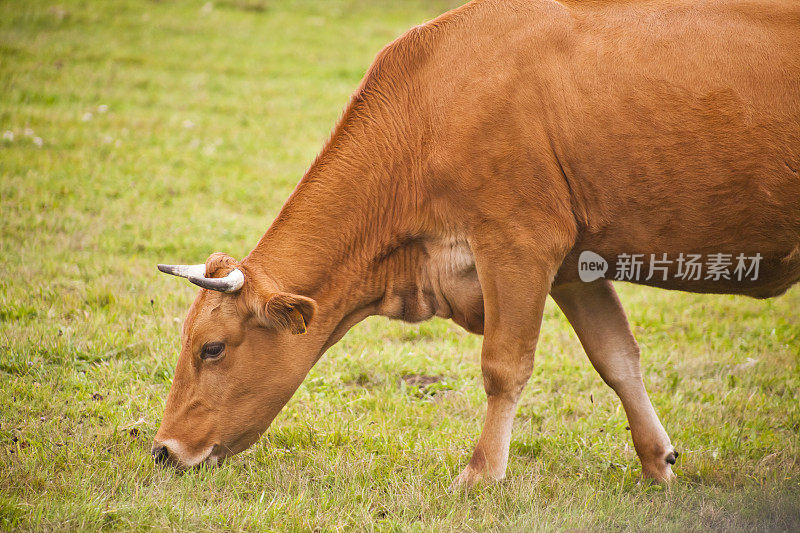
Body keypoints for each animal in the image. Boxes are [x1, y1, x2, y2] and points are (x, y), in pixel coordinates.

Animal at [152, 0, 800, 486]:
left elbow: (503, 366)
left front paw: (481, 474)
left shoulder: (518, 242)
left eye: (212, 348)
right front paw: (657, 464)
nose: (162, 450)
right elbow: (616, 358)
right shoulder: (574, 267)